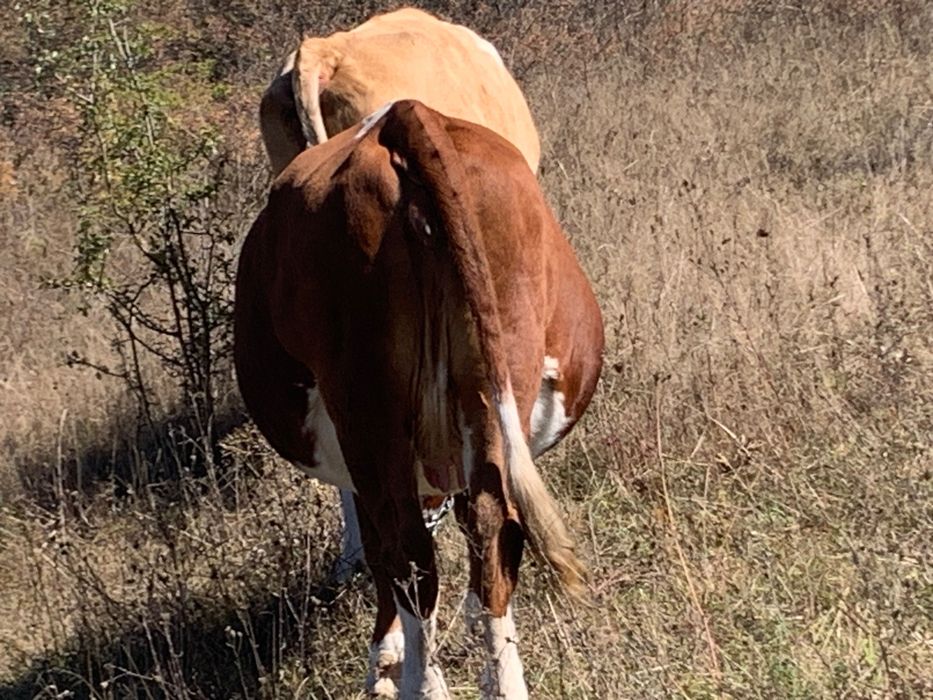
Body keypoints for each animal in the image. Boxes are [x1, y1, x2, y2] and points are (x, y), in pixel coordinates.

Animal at [234, 100, 603, 698]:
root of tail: (405, 116)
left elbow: (378, 550)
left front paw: (384, 660)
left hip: (367, 410)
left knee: (406, 554)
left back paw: (419, 683)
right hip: (503, 362)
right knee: (492, 526)